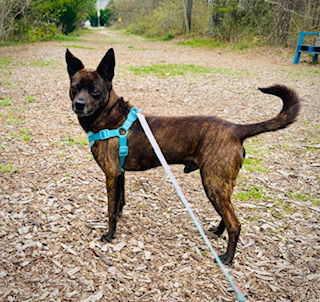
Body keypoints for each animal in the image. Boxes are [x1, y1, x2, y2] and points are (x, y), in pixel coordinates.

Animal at [65, 47, 300, 264]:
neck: (110, 117)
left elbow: (110, 210)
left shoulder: (111, 174)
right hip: (222, 184)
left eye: (95, 91)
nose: (79, 104)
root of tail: (236, 129)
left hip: (213, 183)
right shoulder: (119, 173)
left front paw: (110, 234)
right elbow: (120, 202)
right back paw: (218, 231)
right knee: (228, 213)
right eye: (75, 88)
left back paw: (227, 257)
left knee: (235, 223)